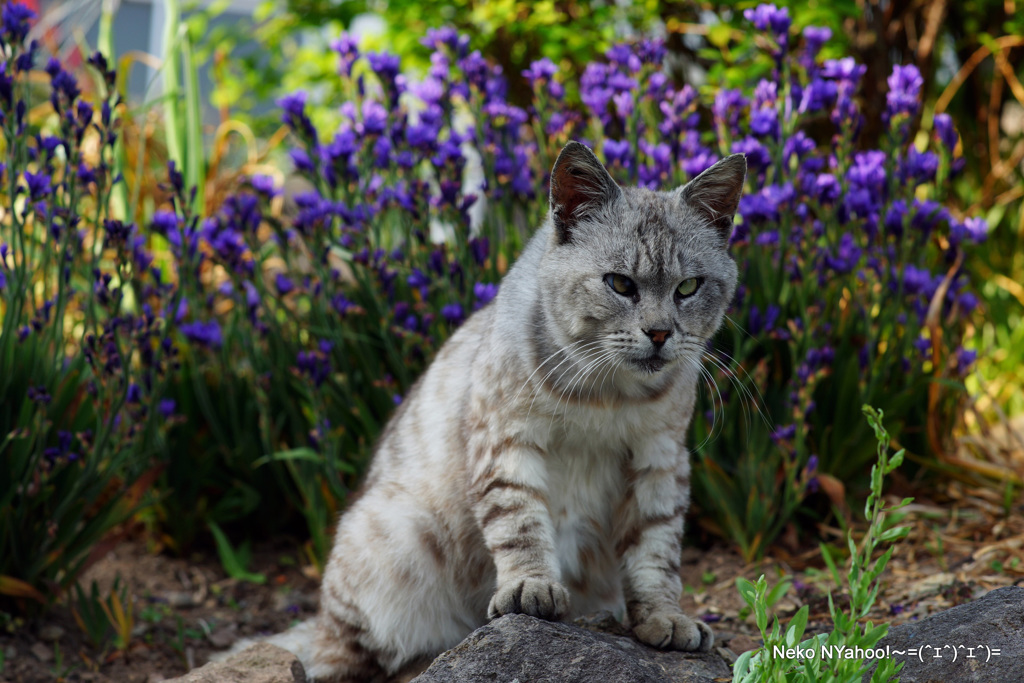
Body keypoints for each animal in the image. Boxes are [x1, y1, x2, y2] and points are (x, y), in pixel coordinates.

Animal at [264, 141, 745, 679]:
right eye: (620, 284)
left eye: (688, 287)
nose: (660, 333)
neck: (608, 393)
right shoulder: (505, 439)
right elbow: (520, 523)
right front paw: (530, 587)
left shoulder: (659, 459)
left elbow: (656, 549)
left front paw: (665, 617)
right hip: (390, 541)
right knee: (342, 655)